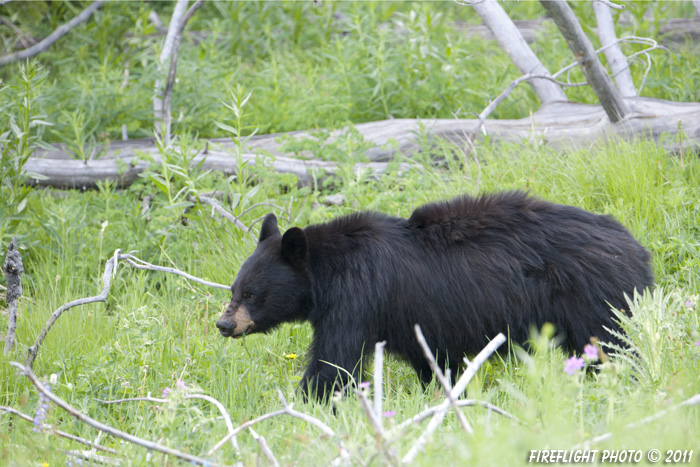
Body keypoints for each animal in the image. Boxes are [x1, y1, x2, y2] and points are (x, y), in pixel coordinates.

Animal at [216, 192, 652, 400]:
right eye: (234, 288)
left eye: (252, 293)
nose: (224, 324)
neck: (330, 271)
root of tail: (637, 249)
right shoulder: (417, 321)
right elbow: (433, 361)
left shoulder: (358, 299)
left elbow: (334, 362)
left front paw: (300, 405)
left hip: (595, 298)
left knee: (615, 347)